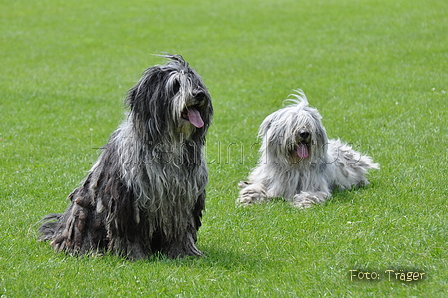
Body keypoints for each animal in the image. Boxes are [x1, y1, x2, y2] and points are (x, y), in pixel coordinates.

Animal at [38, 54, 214, 260]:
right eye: (176, 85)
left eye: (195, 81)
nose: (199, 94)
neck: (169, 143)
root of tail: (60, 230)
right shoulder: (127, 201)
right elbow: (130, 234)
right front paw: (135, 255)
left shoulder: (183, 201)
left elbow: (180, 232)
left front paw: (182, 253)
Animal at [238, 89, 378, 208]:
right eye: (293, 123)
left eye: (308, 123)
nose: (304, 133)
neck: (294, 164)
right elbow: (257, 187)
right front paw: (249, 197)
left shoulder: (315, 185)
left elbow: (312, 194)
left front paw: (303, 201)